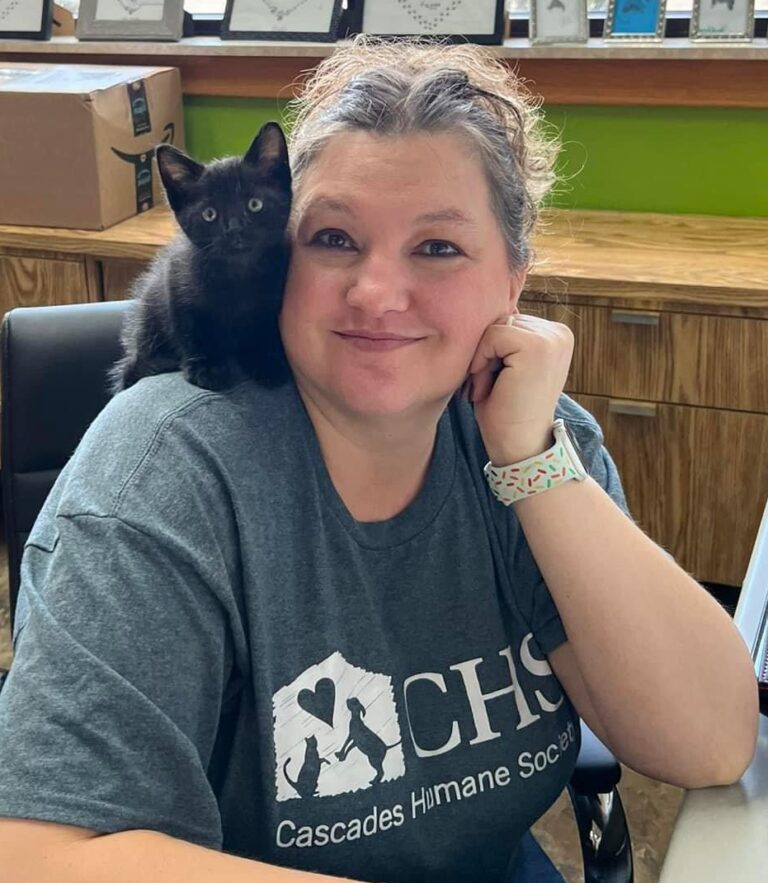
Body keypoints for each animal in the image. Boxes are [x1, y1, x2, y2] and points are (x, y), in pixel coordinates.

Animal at [108, 121, 293, 395]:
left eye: (255, 204)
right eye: (209, 214)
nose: (234, 229)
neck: (238, 277)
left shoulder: (271, 301)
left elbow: (262, 331)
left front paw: (265, 362)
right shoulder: (175, 281)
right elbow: (191, 329)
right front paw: (207, 367)